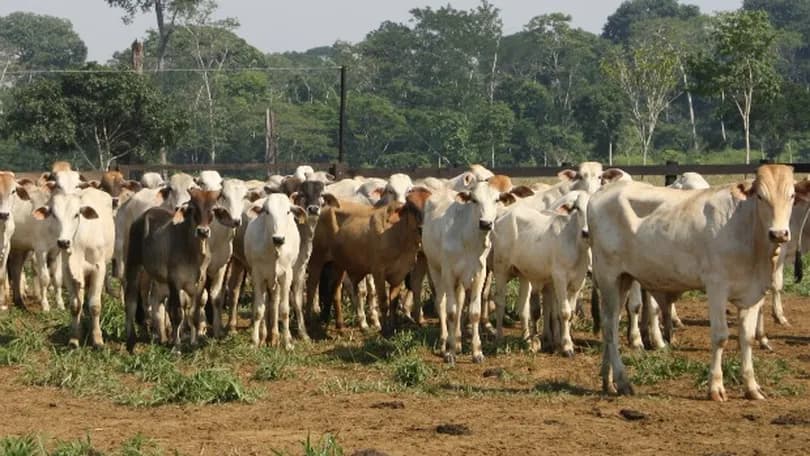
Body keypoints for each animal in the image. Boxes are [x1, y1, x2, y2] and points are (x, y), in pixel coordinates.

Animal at [33, 188, 114, 347]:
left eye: (76, 214)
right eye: (53, 214)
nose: (63, 242)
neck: (79, 242)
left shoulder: (98, 269)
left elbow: (95, 305)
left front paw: (97, 339)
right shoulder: (68, 271)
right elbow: (75, 305)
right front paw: (75, 337)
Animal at [124, 188, 232, 352]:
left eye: (213, 209)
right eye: (193, 208)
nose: (203, 231)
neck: (193, 253)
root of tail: (145, 215)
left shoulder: (199, 283)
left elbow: (194, 314)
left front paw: (193, 343)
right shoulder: (175, 282)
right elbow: (177, 314)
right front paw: (176, 346)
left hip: (158, 277)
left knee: (156, 301)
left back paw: (162, 337)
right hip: (134, 264)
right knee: (131, 300)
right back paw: (131, 341)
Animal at [588, 165, 810, 401]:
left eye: (792, 196)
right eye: (760, 196)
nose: (778, 233)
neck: (747, 229)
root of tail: (599, 194)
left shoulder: (753, 293)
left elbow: (747, 338)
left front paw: (752, 387)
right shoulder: (716, 287)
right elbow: (720, 336)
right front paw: (716, 387)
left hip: (623, 279)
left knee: (610, 323)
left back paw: (607, 380)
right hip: (608, 276)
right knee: (610, 327)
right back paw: (623, 381)